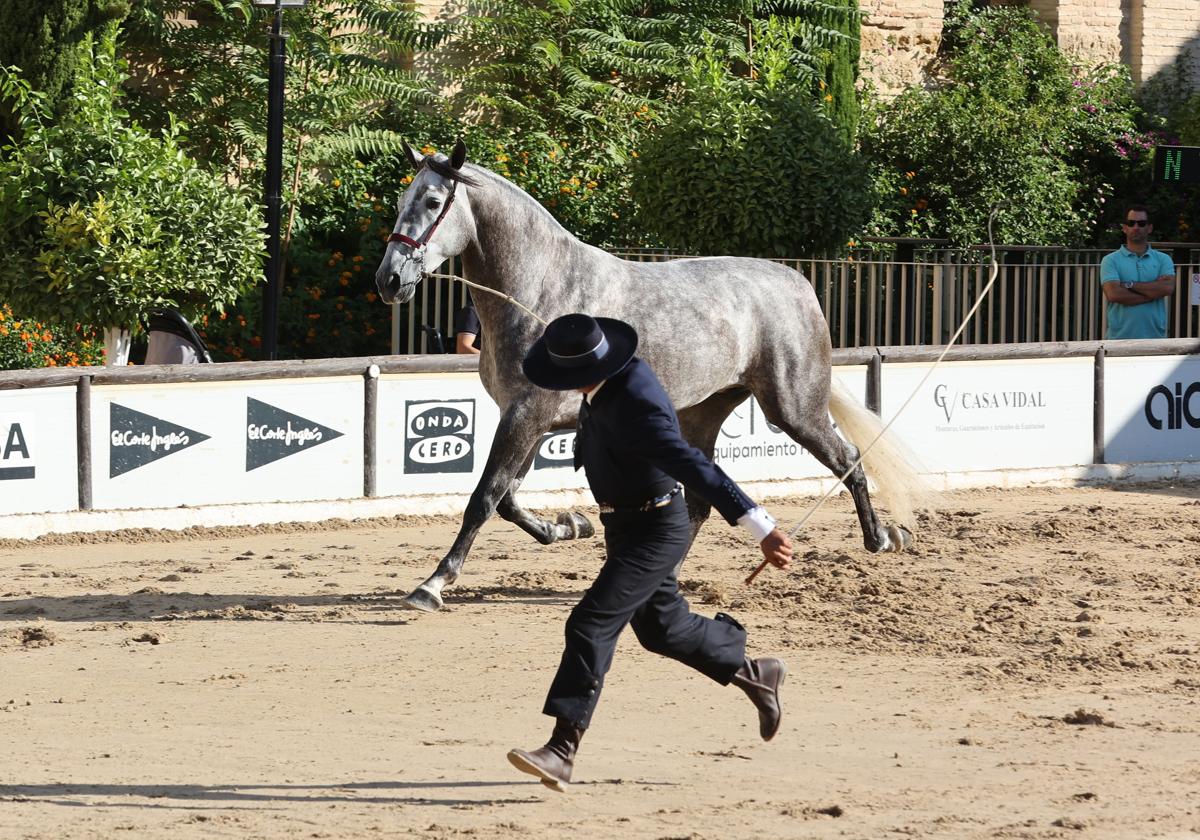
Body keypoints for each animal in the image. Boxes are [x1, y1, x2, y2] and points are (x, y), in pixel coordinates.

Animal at [374, 138, 916, 609]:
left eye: (432, 201)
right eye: (403, 199)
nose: (389, 280)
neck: (542, 290)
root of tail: (799, 284)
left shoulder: (527, 415)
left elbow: (484, 498)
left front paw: (433, 584)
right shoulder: (528, 418)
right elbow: (507, 499)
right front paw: (569, 526)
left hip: (793, 408)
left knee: (848, 458)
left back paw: (881, 538)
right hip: (704, 413)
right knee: (700, 497)